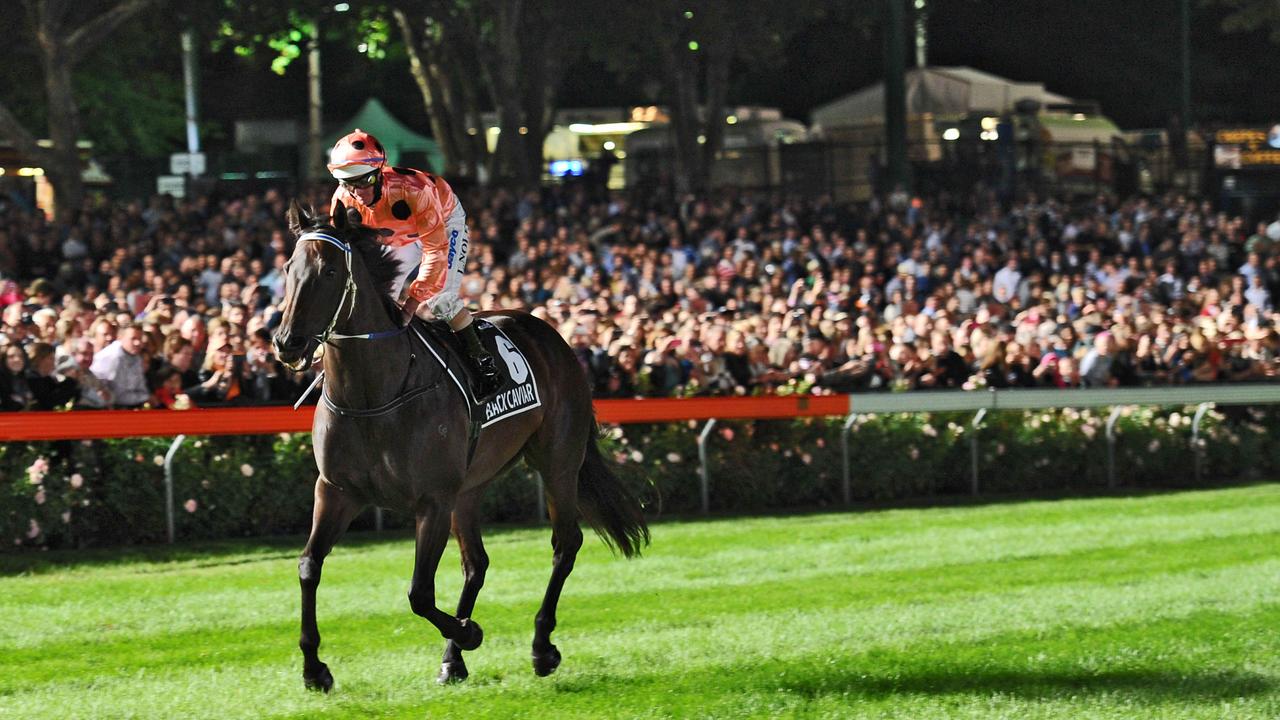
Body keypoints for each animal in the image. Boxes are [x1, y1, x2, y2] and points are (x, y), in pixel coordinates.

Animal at [271, 202, 650, 691]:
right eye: (288, 268)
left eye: (331, 270)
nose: (287, 342)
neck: (374, 394)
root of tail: (553, 335)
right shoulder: (336, 491)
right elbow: (308, 565)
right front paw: (314, 668)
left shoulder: (432, 499)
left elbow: (418, 592)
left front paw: (470, 632)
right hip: (469, 488)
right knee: (477, 563)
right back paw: (453, 660)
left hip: (558, 462)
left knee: (565, 543)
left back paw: (541, 647)